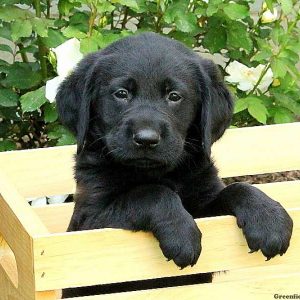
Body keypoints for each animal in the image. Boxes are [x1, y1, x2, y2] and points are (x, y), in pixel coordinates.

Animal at [56, 33, 292, 298]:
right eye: (121, 93)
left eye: (174, 96)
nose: (146, 139)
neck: (160, 172)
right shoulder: (91, 221)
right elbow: (152, 192)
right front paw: (181, 234)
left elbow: (238, 188)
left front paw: (269, 219)